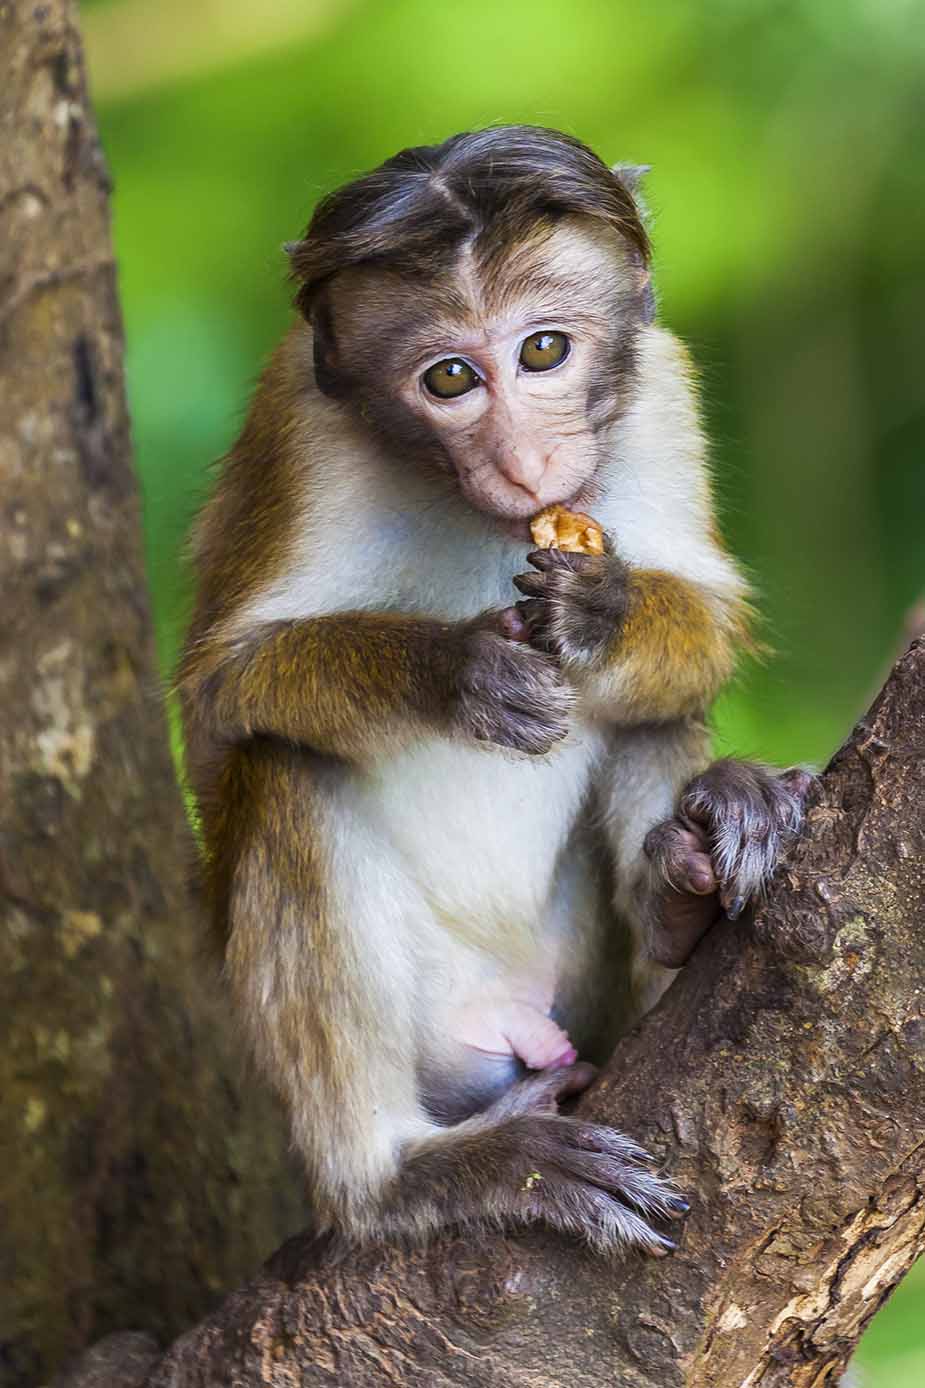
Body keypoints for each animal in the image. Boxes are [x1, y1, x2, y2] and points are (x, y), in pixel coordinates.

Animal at [176, 127, 805, 1260]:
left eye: (543, 352)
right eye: (450, 377)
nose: (523, 460)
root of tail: (511, 1009)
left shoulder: (662, 392)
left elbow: (704, 621)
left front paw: (597, 613)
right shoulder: (297, 426)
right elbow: (222, 692)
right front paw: (465, 674)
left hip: (585, 978)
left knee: (646, 714)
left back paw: (686, 883)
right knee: (283, 764)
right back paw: (401, 1175)